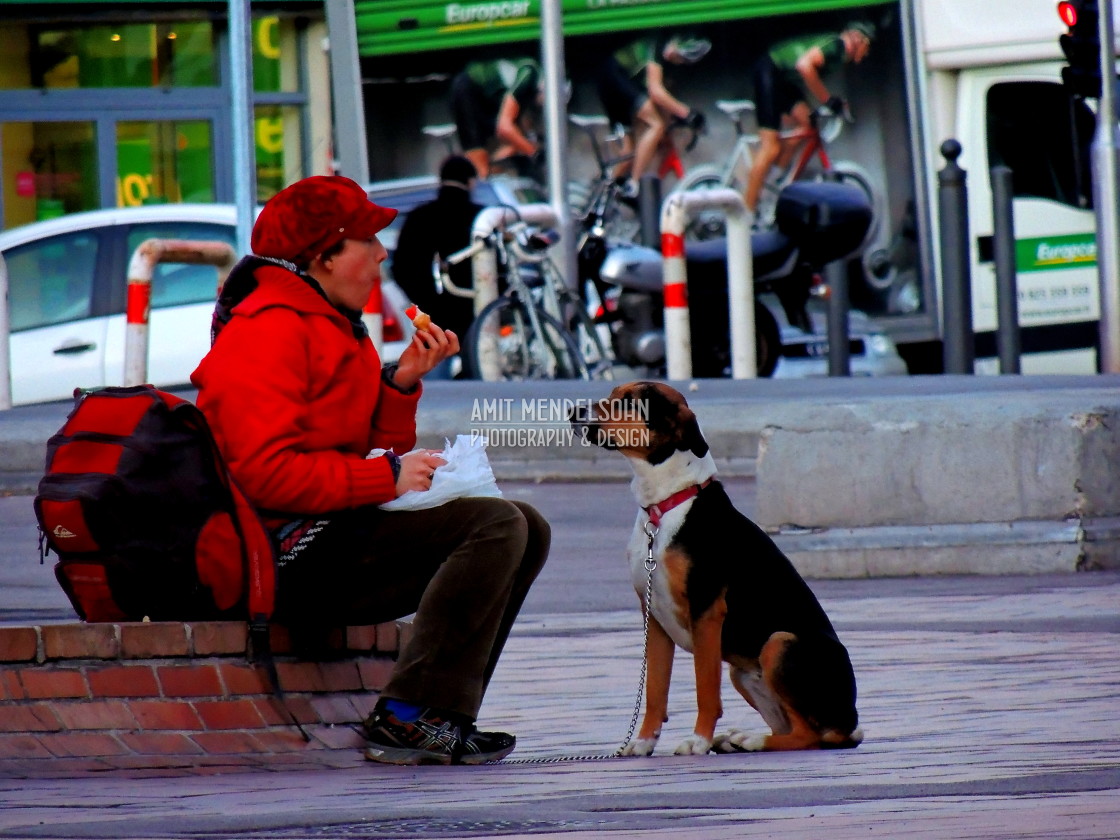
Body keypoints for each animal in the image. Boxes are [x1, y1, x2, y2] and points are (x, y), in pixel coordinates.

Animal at [573, 380, 860, 757]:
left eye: (629, 403)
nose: (572, 412)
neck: (665, 506)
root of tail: (850, 721)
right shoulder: (654, 617)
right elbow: (655, 691)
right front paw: (644, 741)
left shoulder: (706, 611)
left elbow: (705, 687)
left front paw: (698, 740)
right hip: (744, 673)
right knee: (793, 728)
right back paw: (737, 741)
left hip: (779, 643)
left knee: (809, 735)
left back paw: (751, 740)